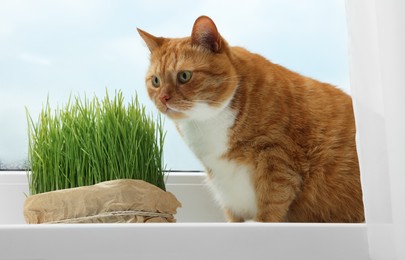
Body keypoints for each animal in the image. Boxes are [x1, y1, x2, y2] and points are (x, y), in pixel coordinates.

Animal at [137, 15, 364, 222]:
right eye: (155, 81)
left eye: (184, 76)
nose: (163, 98)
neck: (207, 123)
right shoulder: (224, 182)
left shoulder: (277, 157)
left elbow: (272, 202)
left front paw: (261, 222)